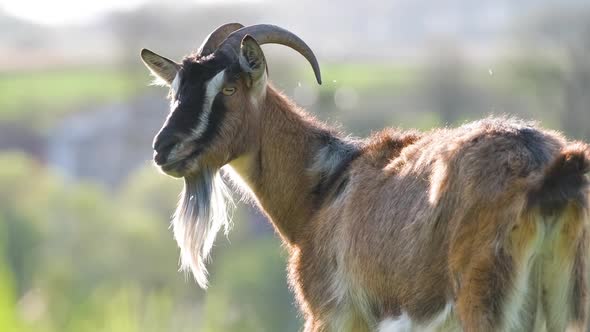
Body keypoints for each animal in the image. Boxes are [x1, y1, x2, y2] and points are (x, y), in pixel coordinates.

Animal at [141, 22, 590, 330]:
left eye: (229, 89)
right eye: (176, 91)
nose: (163, 148)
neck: (322, 189)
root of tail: (544, 169)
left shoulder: (333, 312)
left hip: (485, 301)